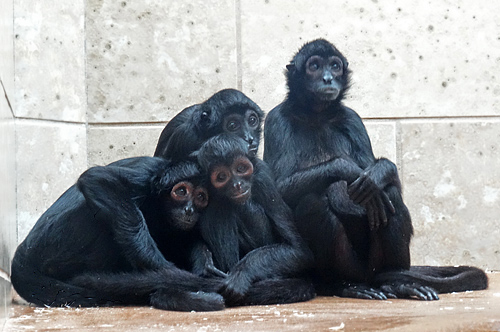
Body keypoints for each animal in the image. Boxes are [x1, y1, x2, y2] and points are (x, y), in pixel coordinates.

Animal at [10, 156, 225, 312]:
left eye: (200, 197)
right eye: (181, 191)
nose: (189, 210)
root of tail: (23, 252)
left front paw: (204, 262)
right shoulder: (145, 175)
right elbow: (96, 179)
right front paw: (166, 272)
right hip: (60, 242)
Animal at [193, 134, 314, 306]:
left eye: (240, 169)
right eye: (222, 177)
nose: (237, 185)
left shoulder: (263, 180)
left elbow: (299, 250)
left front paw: (241, 273)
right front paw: (204, 263)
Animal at [266, 39, 488, 300]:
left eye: (334, 66)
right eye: (314, 66)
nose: (328, 78)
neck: (317, 115)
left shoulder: (352, 119)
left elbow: (386, 180)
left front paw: (379, 173)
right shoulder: (276, 120)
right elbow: (279, 189)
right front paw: (347, 169)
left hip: (372, 263)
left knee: (389, 194)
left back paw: (397, 282)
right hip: (349, 265)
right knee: (313, 202)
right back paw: (345, 285)